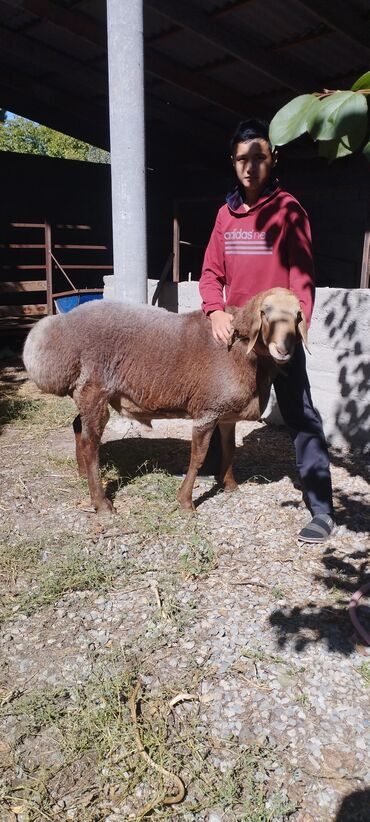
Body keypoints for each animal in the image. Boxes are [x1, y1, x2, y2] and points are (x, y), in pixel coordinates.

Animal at [22, 286, 306, 512]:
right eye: (264, 312)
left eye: (298, 316)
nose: (284, 349)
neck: (243, 355)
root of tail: (58, 326)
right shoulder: (207, 410)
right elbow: (198, 457)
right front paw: (186, 503)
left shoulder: (226, 415)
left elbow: (229, 449)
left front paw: (230, 485)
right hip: (94, 389)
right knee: (90, 443)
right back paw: (101, 502)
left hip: (87, 394)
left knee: (78, 427)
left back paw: (83, 476)